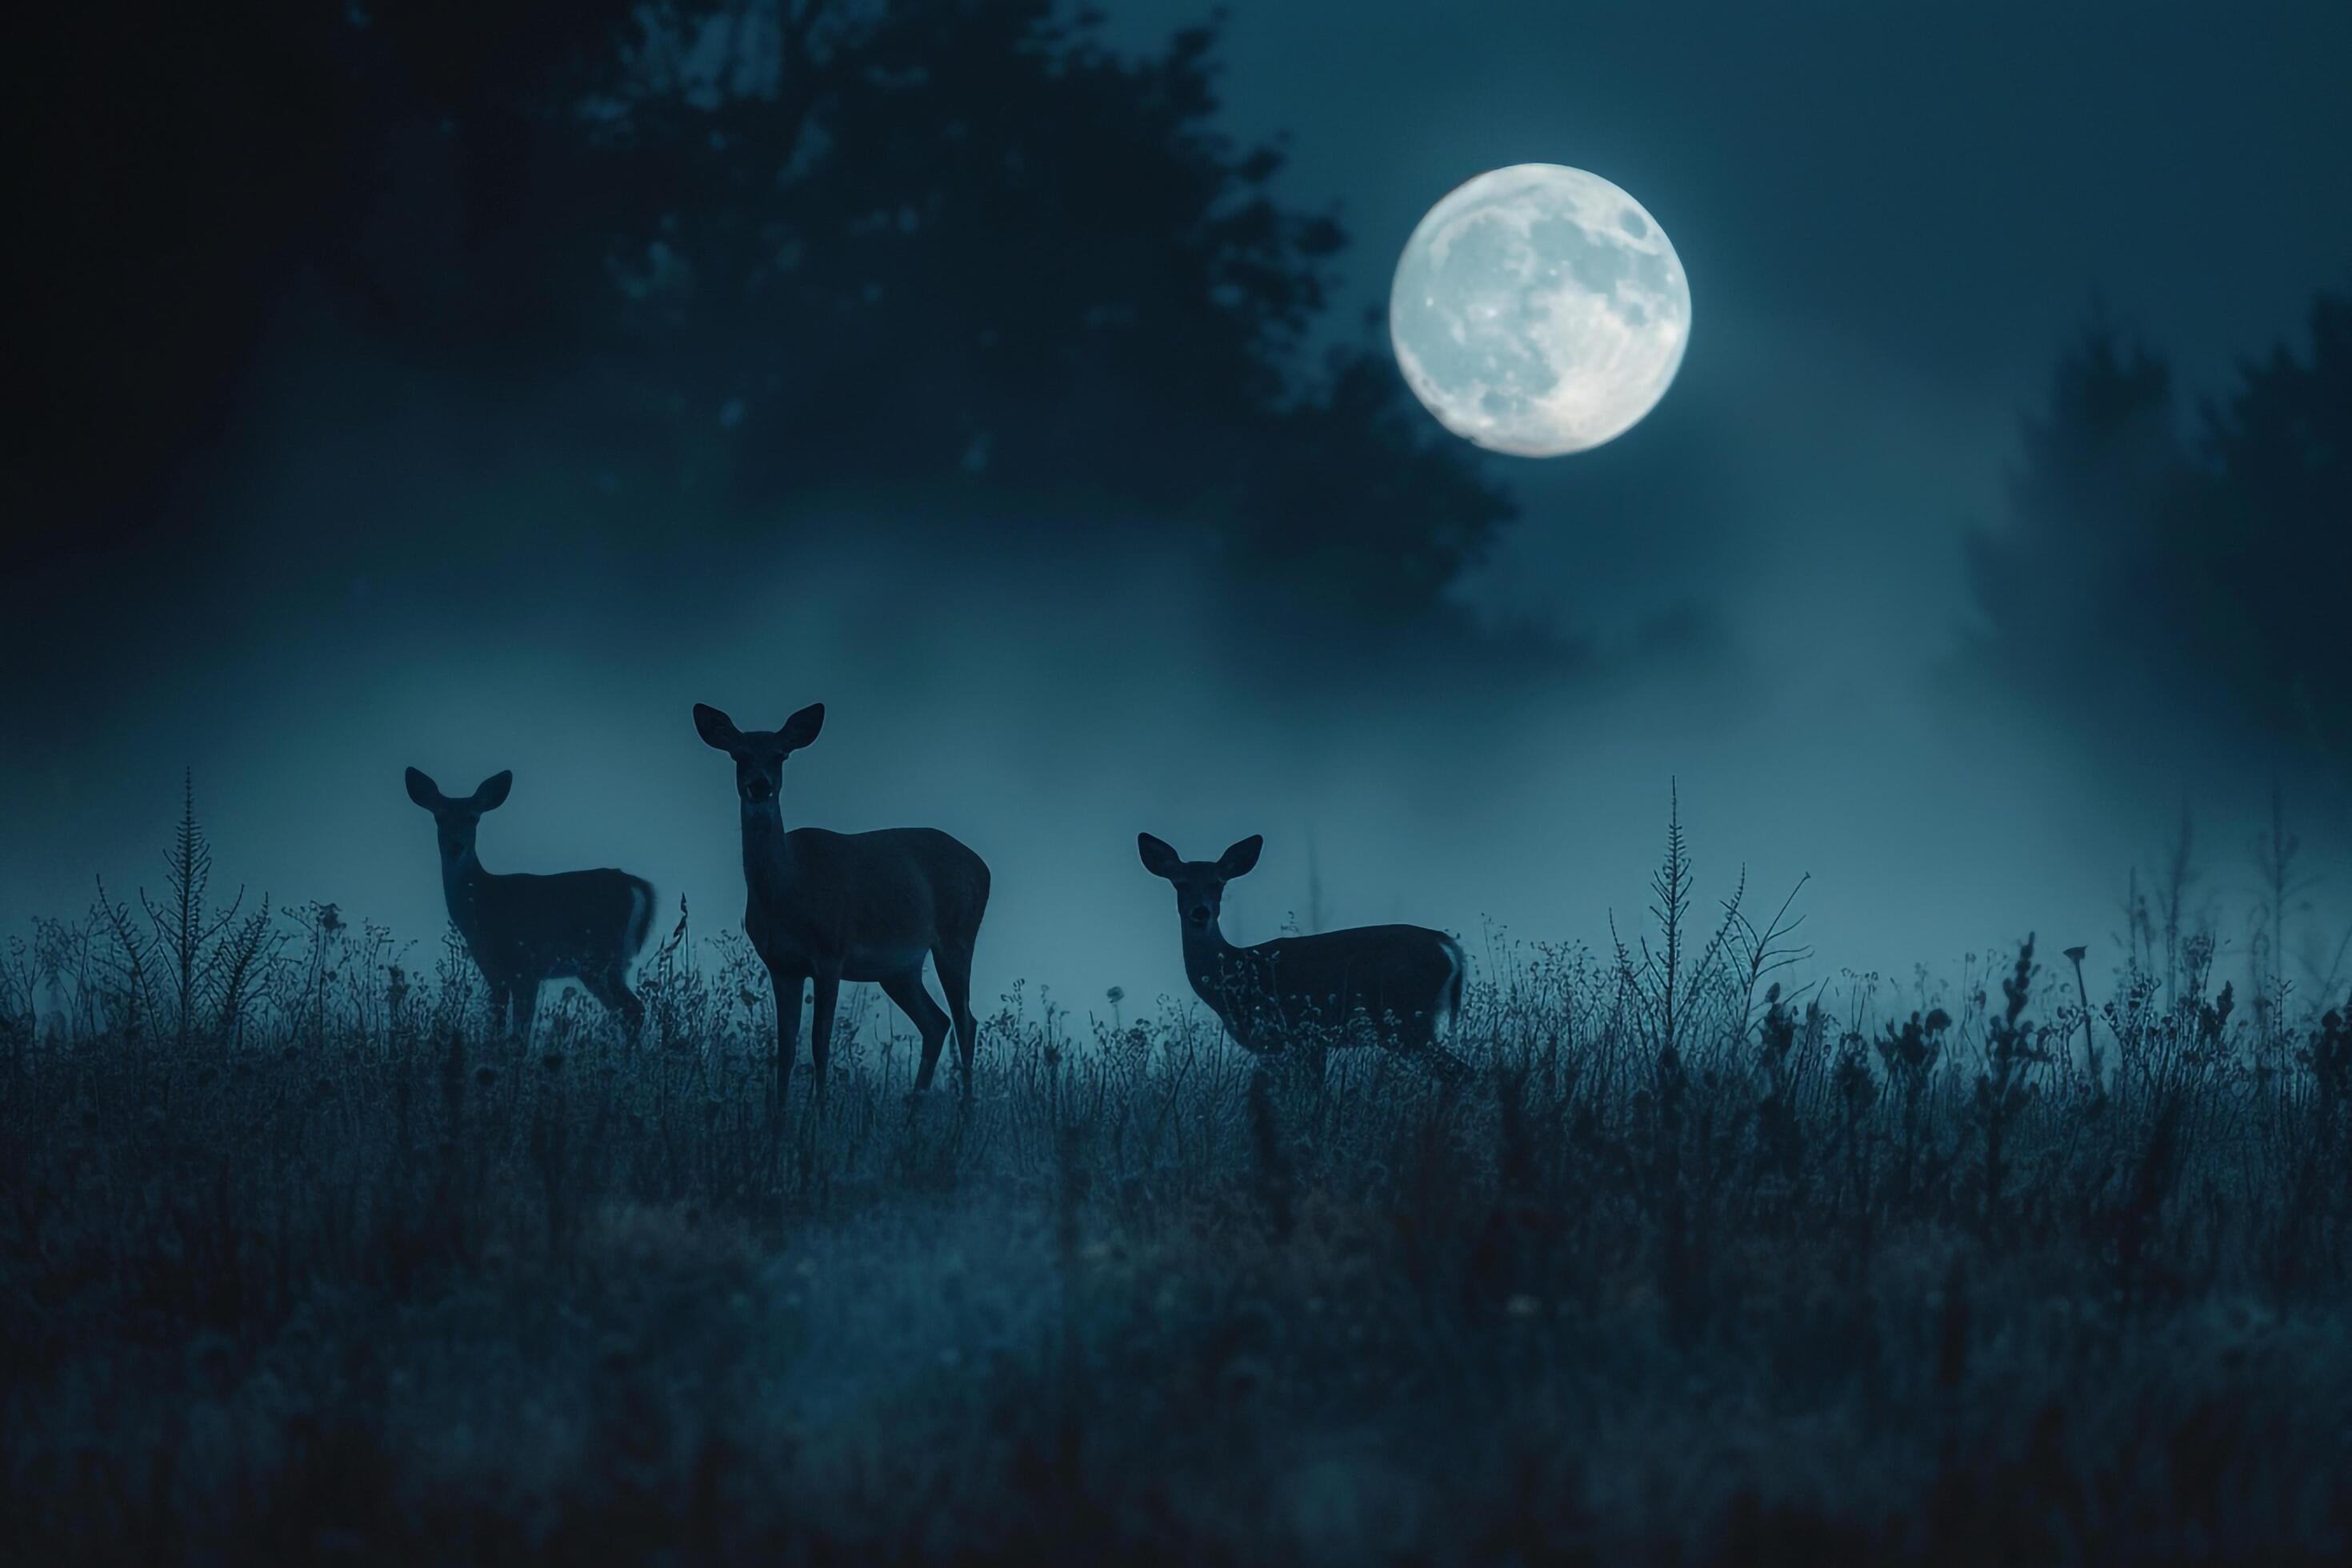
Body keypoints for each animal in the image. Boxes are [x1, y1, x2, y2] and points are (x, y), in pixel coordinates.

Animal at [397, 770, 649, 1043]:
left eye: (473, 818)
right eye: (440, 816)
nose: (456, 845)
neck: (483, 902)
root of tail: (634, 884)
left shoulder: (525, 967)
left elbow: (519, 1038)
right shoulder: (493, 973)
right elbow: (496, 1030)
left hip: (600, 956)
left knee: (634, 1009)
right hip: (603, 965)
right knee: (629, 1011)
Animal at [696, 700, 992, 1105]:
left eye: (780, 755)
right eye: (738, 754)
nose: (759, 785)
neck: (788, 889)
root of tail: (984, 867)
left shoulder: (830, 954)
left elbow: (820, 1044)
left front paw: (818, 1112)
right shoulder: (781, 965)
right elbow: (786, 1049)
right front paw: (779, 1116)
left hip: (956, 937)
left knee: (966, 1021)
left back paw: (964, 1114)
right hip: (899, 969)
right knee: (937, 1022)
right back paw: (914, 1110)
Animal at [1142, 832, 1467, 1081]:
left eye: (1218, 882)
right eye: (1180, 883)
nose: (1200, 912)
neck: (1241, 970)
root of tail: (1447, 945)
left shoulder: (1301, 1034)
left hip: (1408, 1017)